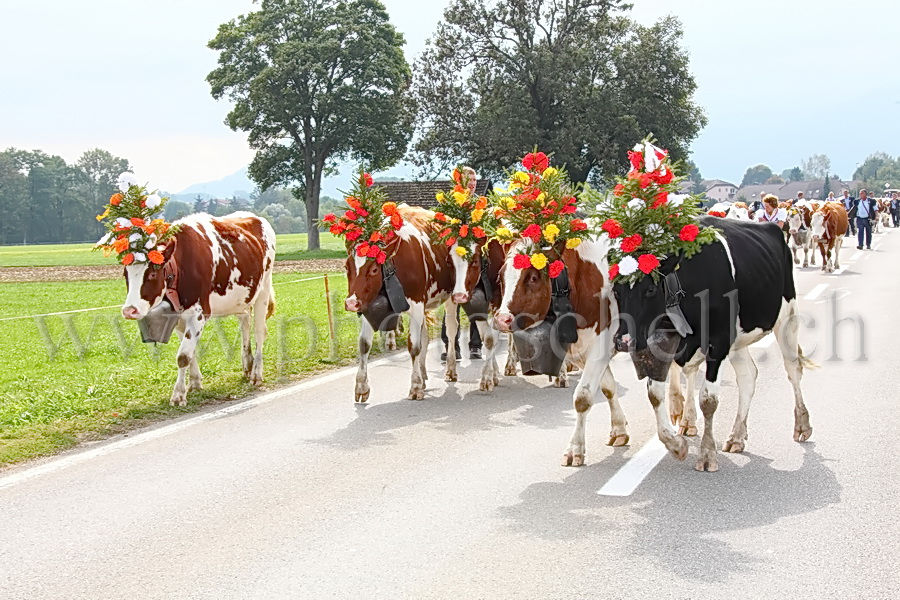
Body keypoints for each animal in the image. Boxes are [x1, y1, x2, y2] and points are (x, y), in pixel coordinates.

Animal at [120, 213, 274, 406]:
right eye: (125, 274)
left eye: (152, 274)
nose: (129, 310)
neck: (178, 267)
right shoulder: (176, 317)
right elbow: (189, 353)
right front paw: (194, 383)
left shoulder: (198, 314)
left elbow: (183, 356)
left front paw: (178, 394)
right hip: (243, 299)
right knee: (245, 322)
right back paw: (247, 364)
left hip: (263, 290)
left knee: (260, 331)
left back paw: (256, 373)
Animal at [612, 218, 816, 472]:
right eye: (615, 290)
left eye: (649, 289)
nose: (623, 340)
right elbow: (655, 394)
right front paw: (676, 445)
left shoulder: (718, 342)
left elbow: (708, 400)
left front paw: (707, 453)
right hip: (739, 339)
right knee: (748, 376)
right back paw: (736, 436)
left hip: (787, 317)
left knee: (793, 369)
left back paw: (802, 425)